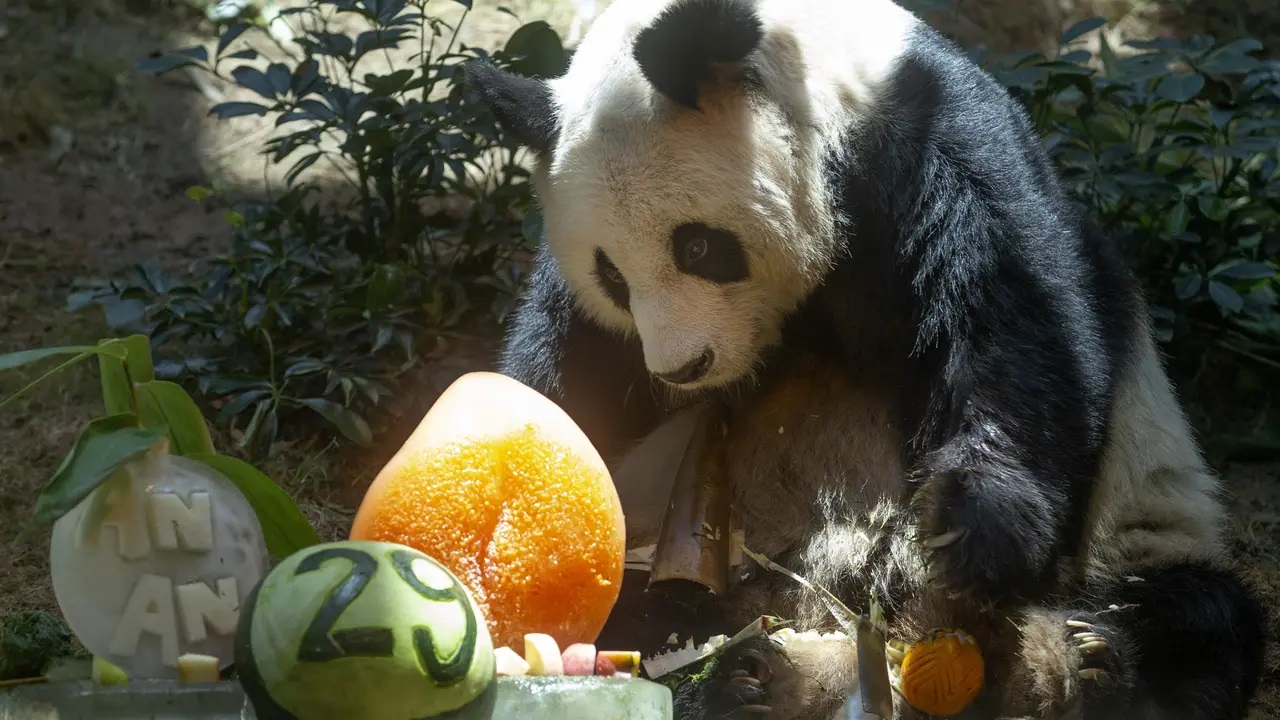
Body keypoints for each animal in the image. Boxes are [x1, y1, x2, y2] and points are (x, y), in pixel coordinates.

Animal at [463, 0, 1269, 712]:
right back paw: (749, 681)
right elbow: (562, 373)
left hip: (1141, 530)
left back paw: (1085, 659)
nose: (680, 368)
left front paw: (969, 528)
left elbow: (1014, 326)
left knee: (1199, 618)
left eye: (697, 247)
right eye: (612, 276)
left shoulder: (939, 149)